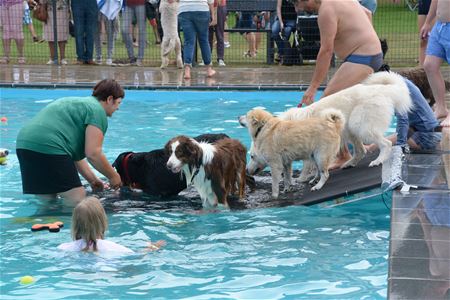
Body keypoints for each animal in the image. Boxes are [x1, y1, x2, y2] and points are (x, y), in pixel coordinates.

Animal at [280, 71, 414, 169]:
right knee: (361, 151)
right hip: (350, 129)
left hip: (360, 125)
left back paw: (378, 161)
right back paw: (349, 163)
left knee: (386, 144)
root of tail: (382, 89)